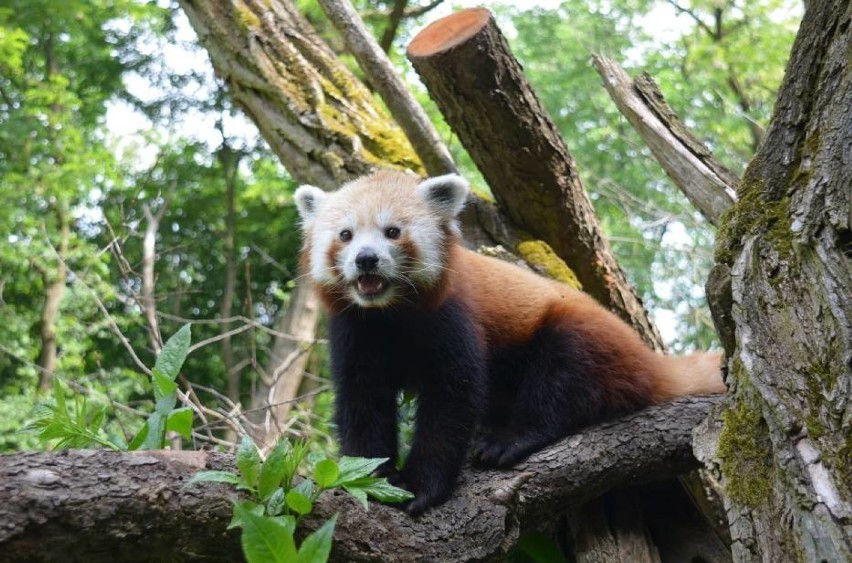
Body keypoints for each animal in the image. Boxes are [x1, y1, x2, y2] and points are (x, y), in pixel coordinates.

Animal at [294, 171, 724, 516]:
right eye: (345, 235)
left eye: (392, 232)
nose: (366, 259)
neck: (389, 313)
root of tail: (650, 358)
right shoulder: (356, 332)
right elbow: (362, 404)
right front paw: (372, 477)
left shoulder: (453, 320)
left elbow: (452, 402)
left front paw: (421, 488)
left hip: (584, 338)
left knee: (562, 380)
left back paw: (510, 439)